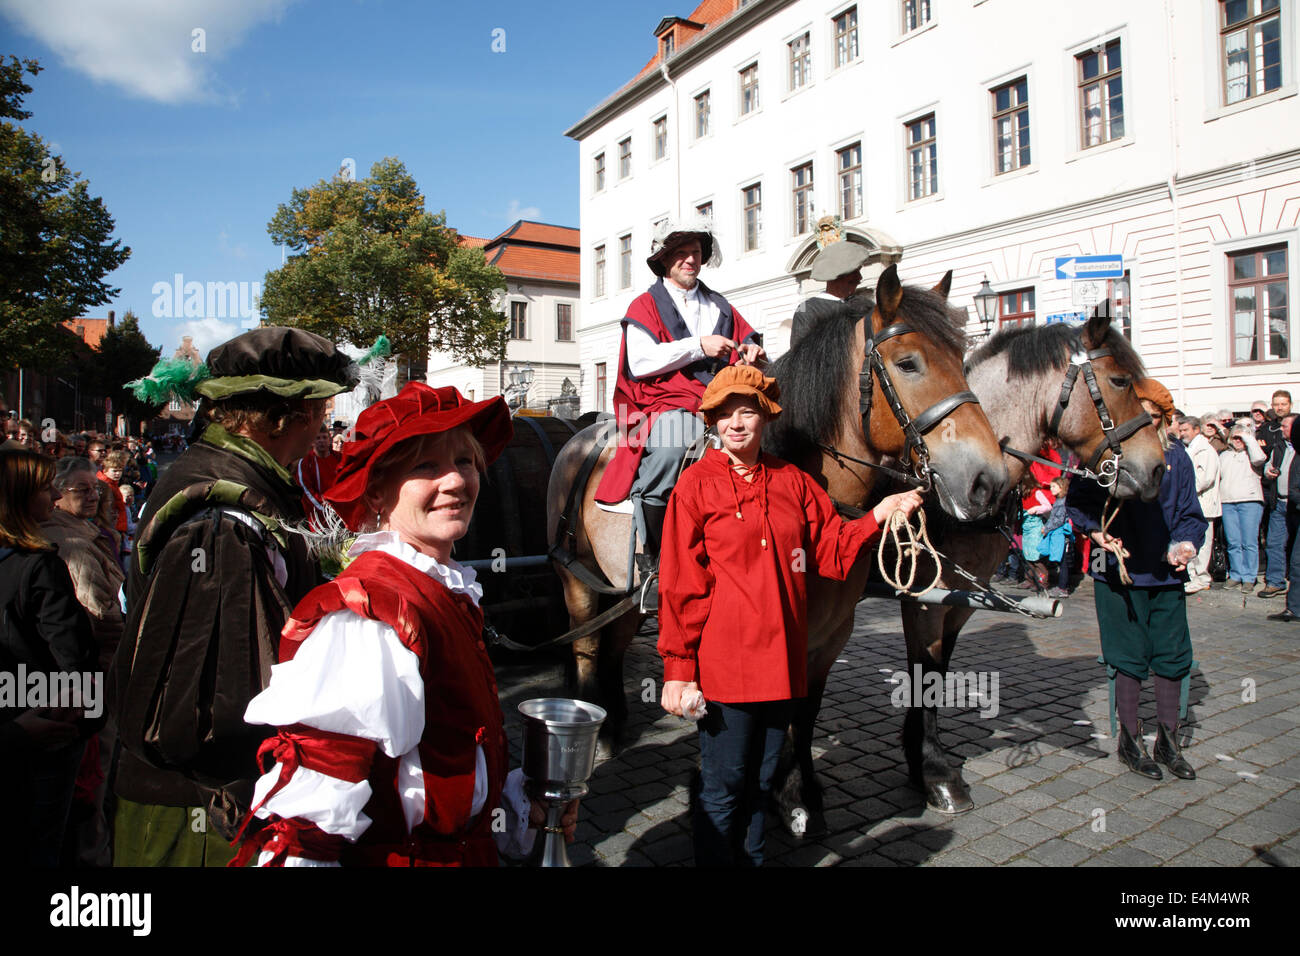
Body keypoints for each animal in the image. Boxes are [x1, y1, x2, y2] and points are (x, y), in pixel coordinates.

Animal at [543, 265, 1008, 749]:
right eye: (908, 363)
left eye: (961, 356)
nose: (987, 481)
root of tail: (579, 437)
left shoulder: (829, 635)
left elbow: (801, 721)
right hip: (578, 581)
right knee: (586, 649)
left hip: (622, 588)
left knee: (613, 646)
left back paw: (614, 725)